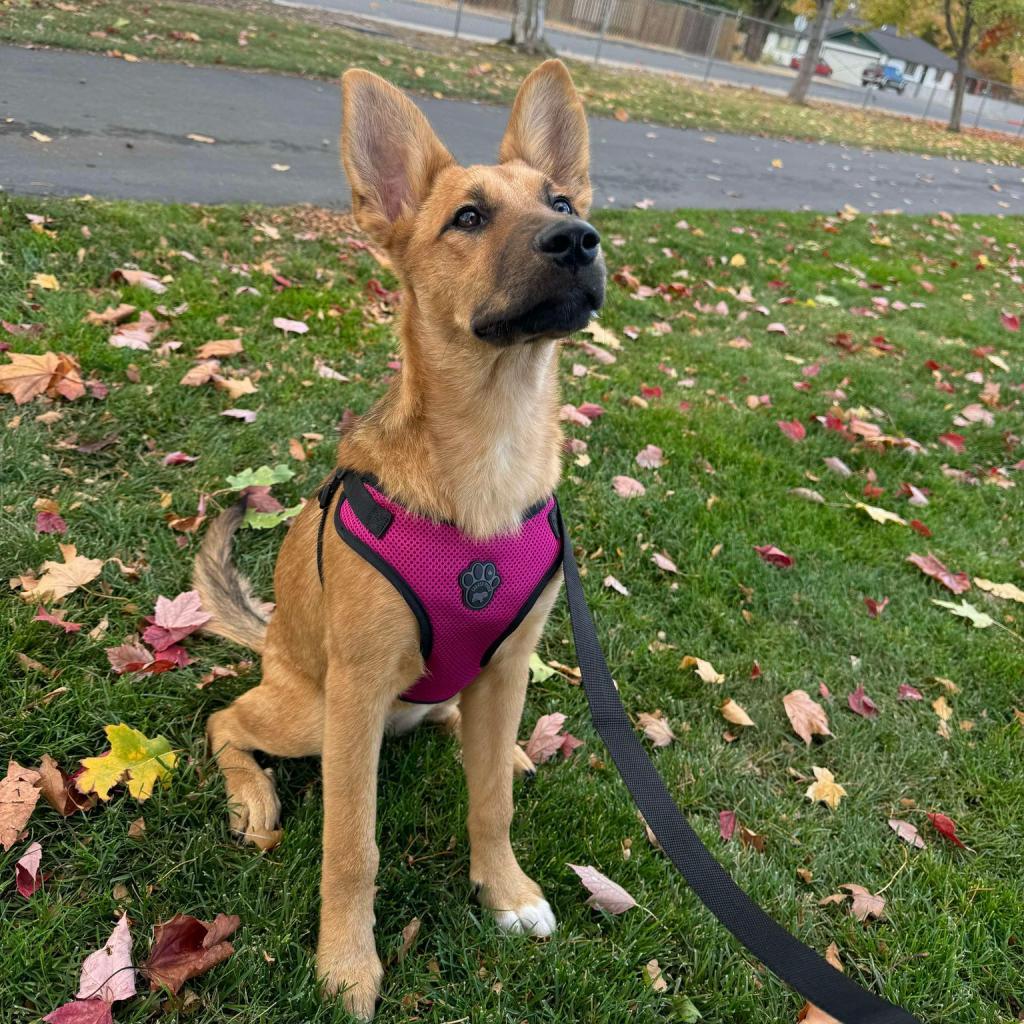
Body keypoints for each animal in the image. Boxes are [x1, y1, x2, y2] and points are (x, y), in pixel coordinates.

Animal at [195, 61, 602, 1015]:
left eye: (561, 198)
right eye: (469, 217)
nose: (579, 239)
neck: (491, 447)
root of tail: (269, 638)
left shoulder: (511, 659)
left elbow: (491, 803)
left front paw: (507, 890)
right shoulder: (356, 693)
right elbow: (354, 845)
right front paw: (346, 964)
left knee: (466, 728)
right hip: (310, 710)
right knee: (224, 717)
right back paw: (251, 796)